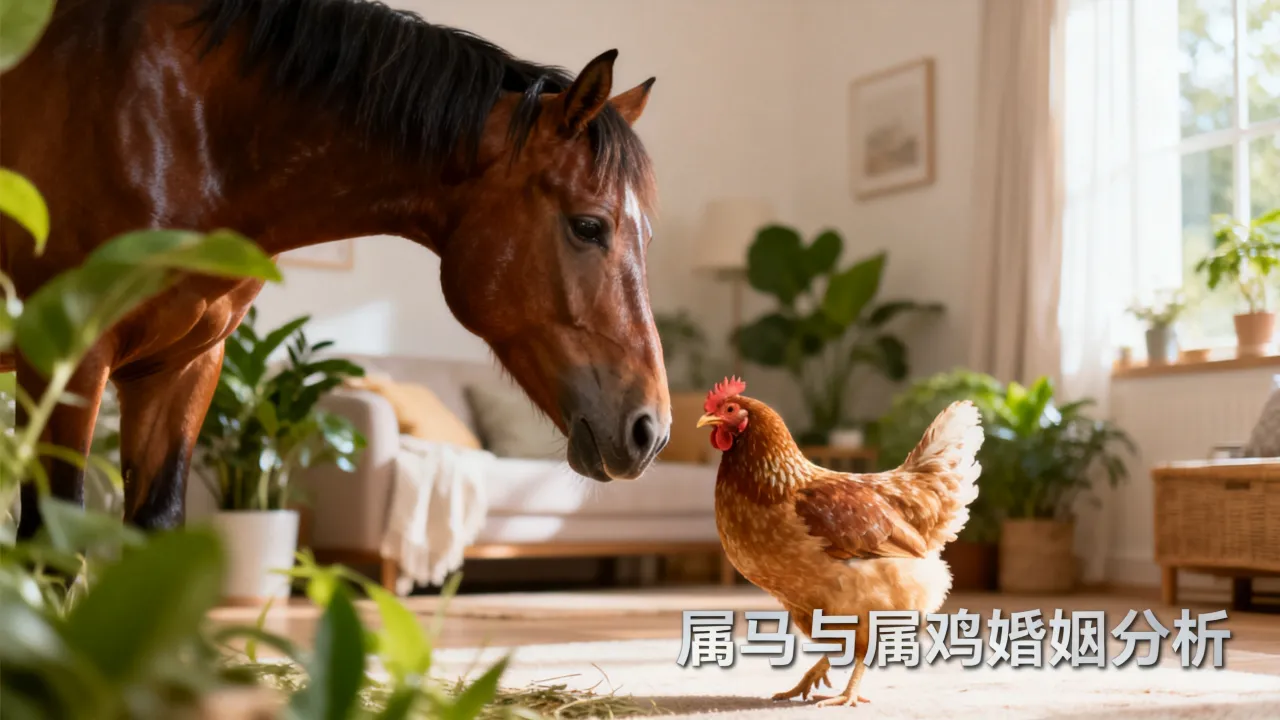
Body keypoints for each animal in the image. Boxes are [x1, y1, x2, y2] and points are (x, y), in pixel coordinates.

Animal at [0, 0, 670, 537]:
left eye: (647, 236)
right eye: (588, 226)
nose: (652, 430)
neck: (179, 120)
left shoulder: (180, 368)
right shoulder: (66, 360)